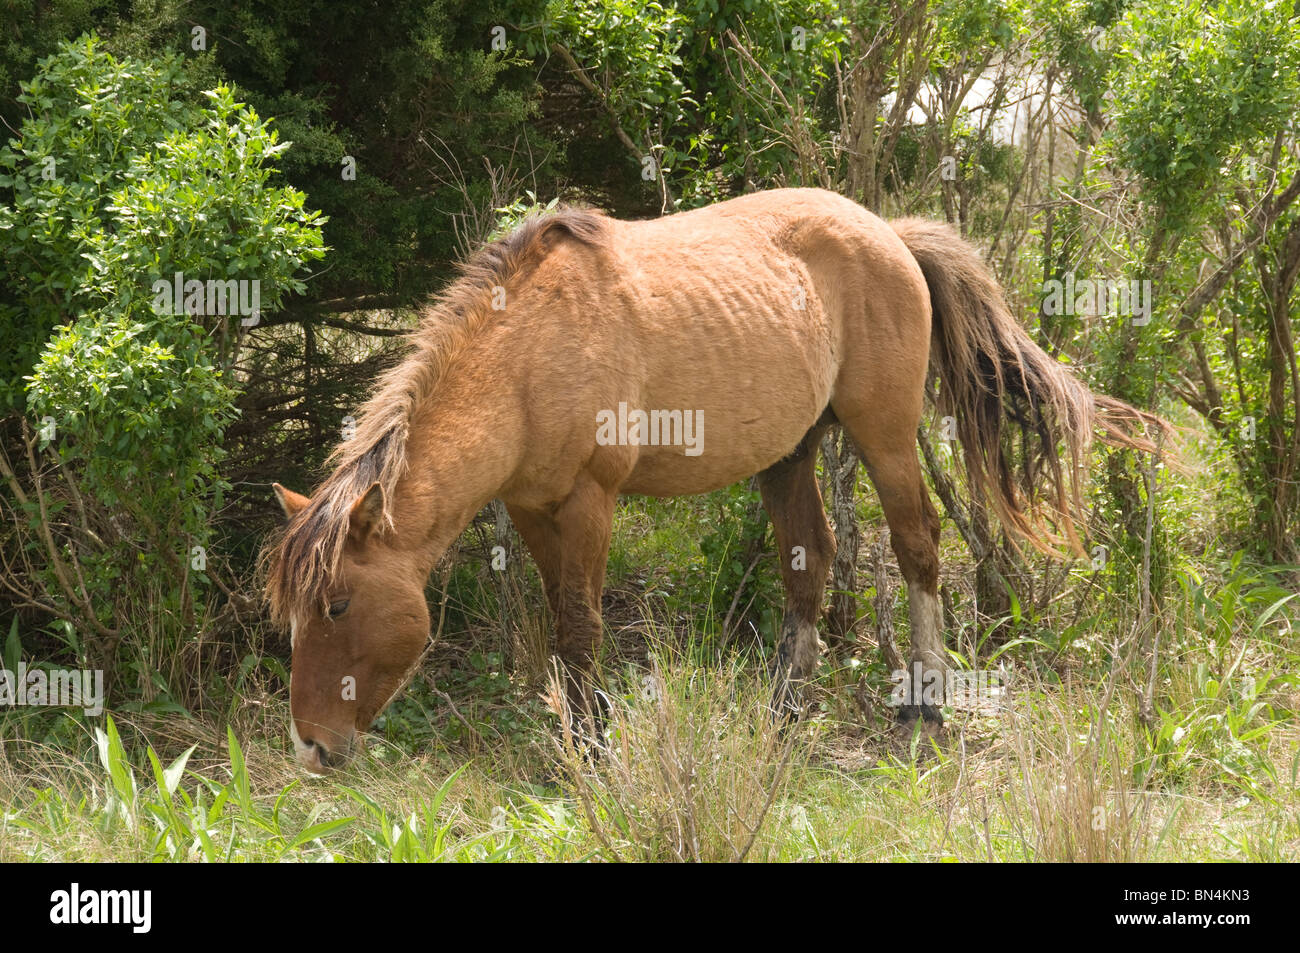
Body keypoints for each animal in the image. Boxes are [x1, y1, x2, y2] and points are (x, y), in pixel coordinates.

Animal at [265, 187, 1163, 773]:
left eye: (338, 604)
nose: (309, 743)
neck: (527, 358)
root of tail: (891, 233)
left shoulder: (590, 501)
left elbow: (580, 629)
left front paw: (592, 753)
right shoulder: (531, 507)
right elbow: (563, 630)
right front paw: (578, 740)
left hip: (884, 437)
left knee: (918, 546)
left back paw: (924, 699)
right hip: (790, 454)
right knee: (811, 562)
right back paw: (784, 713)